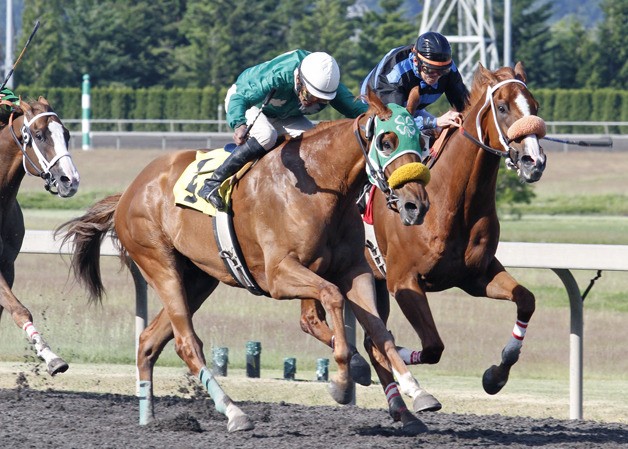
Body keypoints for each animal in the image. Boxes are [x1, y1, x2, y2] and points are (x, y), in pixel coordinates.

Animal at [0, 97, 79, 374]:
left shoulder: (8, 266)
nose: (70, 180)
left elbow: (15, 310)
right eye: (39, 135)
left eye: (66, 134)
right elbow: (18, 309)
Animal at [57, 89, 432, 432]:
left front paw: (416, 394)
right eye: (387, 141)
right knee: (187, 343)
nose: (416, 205)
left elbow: (378, 331)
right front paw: (341, 381)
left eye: (421, 138)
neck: (321, 183)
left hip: (199, 278)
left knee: (150, 341)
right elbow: (332, 298)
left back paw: (148, 417)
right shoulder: (279, 274)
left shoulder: (354, 271)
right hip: (160, 264)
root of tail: (129, 192)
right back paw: (234, 413)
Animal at [296, 63, 548, 412]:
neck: (454, 200)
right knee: (312, 320)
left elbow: (526, 299)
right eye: (502, 107)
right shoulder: (404, 281)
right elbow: (430, 346)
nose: (533, 161)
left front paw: (496, 375)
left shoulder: (476, 276)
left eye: (534, 106)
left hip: (370, 280)